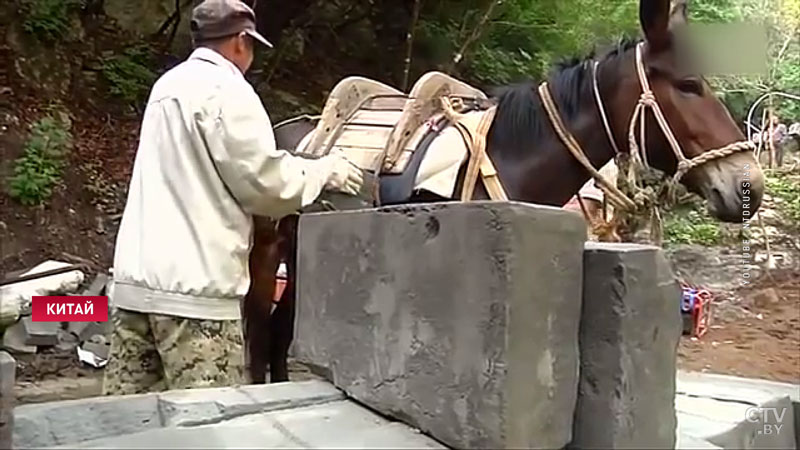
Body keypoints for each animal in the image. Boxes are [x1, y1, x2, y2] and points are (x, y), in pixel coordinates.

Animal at [241, 0, 764, 384]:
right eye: (689, 84)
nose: (749, 187)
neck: (509, 159)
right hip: (267, 250)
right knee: (258, 325)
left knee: (279, 330)